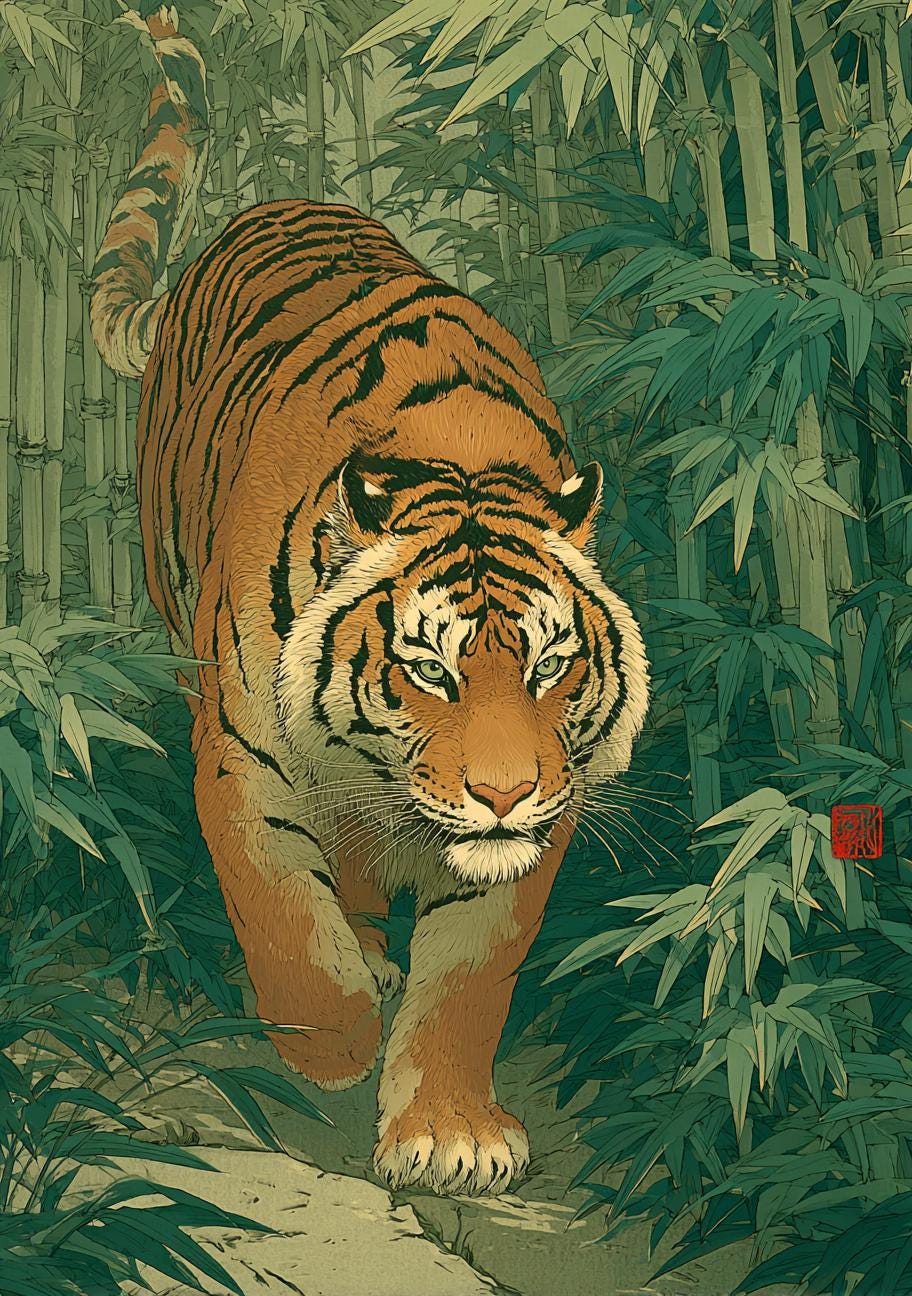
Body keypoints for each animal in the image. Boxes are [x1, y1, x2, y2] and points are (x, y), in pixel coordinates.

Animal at [90, 7, 650, 1197]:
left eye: (550, 666)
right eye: (429, 668)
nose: (503, 795)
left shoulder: (546, 810)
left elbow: (473, 972)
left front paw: (450, 1132)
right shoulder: (244, 754)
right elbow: (282, 913)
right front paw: (331, 1045)